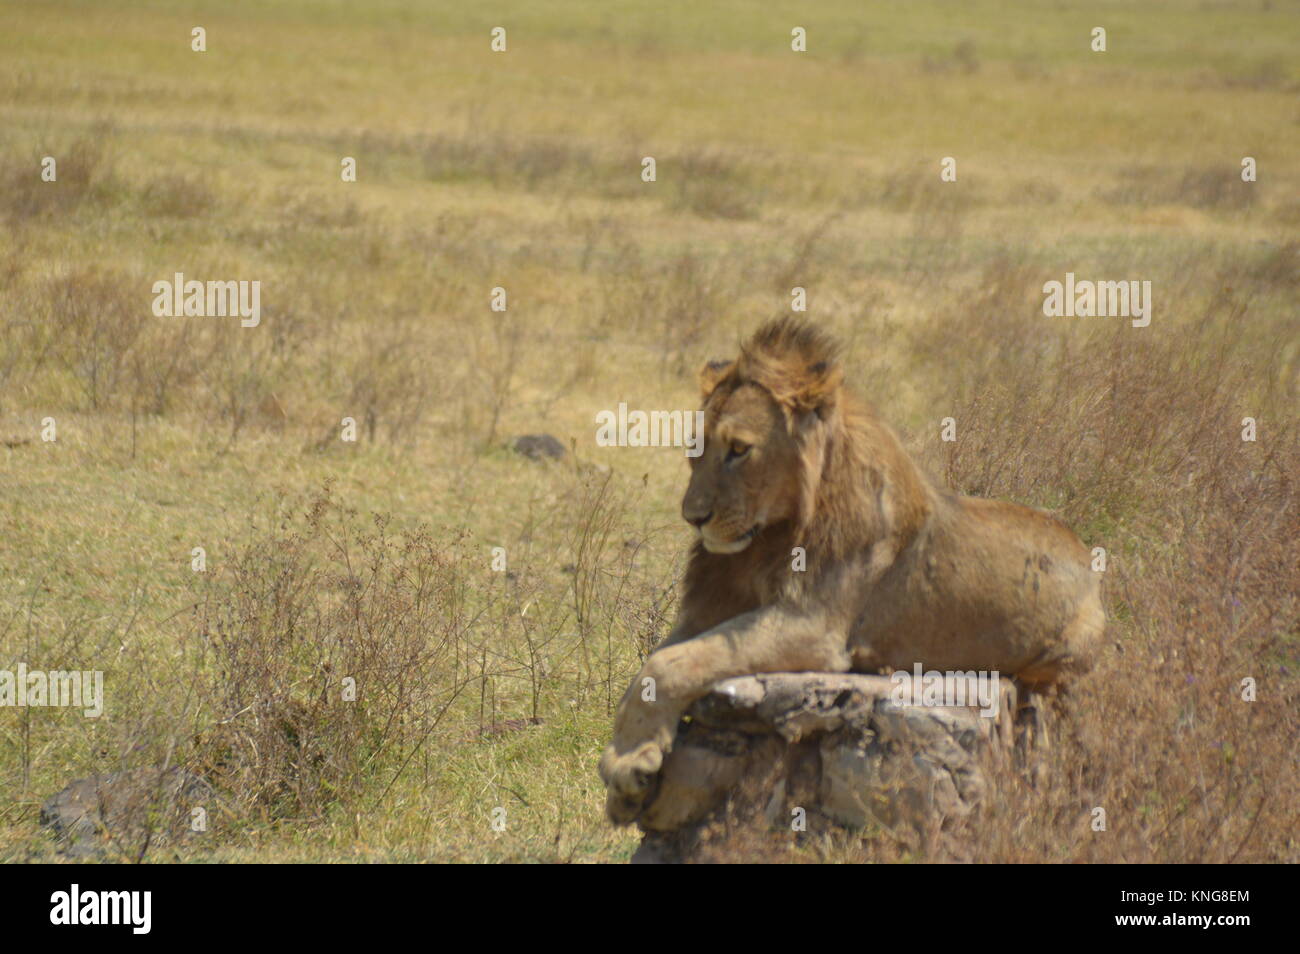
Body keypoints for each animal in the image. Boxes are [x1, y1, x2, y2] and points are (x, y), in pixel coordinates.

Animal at [599, 316, 1105, 824]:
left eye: (739, 450)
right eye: (694, 449)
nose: (693, 517)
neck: (765, 542)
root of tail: (1084, 551)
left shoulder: (813, 626)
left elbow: (668, 665)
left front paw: (628, 762)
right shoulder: (708, 611)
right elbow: (655, 665)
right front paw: (626, 779)